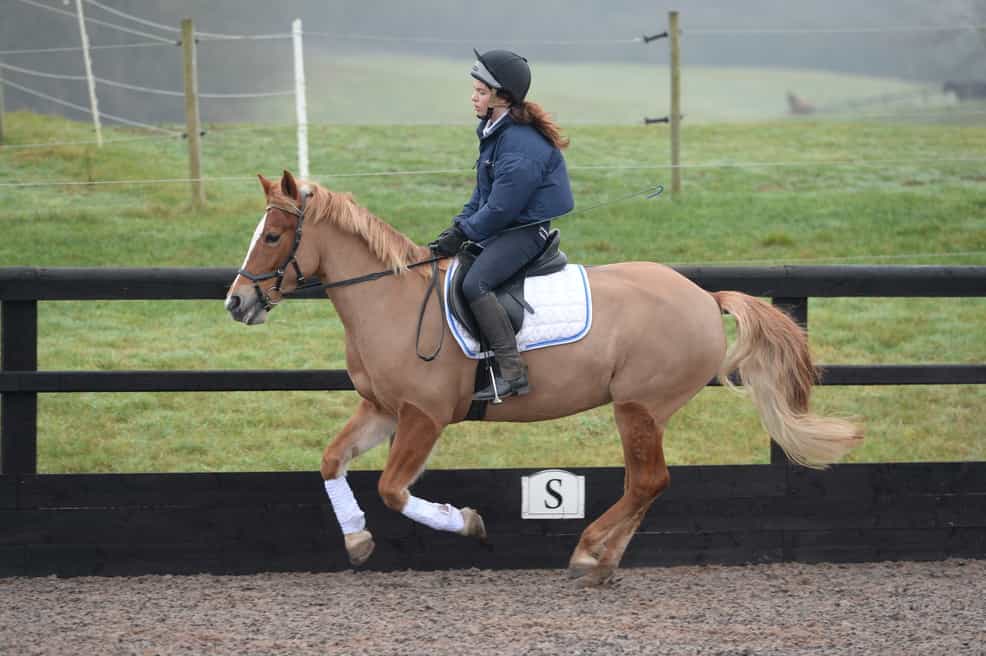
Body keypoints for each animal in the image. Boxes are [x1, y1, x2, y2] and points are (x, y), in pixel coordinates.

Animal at [225, 170, 863, 586]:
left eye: (273, 237)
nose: (236, 303)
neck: (392, 301)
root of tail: (705, 297)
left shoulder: (424, 417)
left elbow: (393, 489)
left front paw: (469, 523)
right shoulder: (381, 409)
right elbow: (332, 461)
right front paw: (357, 539)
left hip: (638, 407)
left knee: (647, 481)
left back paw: (589, 552)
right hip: (642, 412)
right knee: (646, 483)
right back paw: (603, 562)